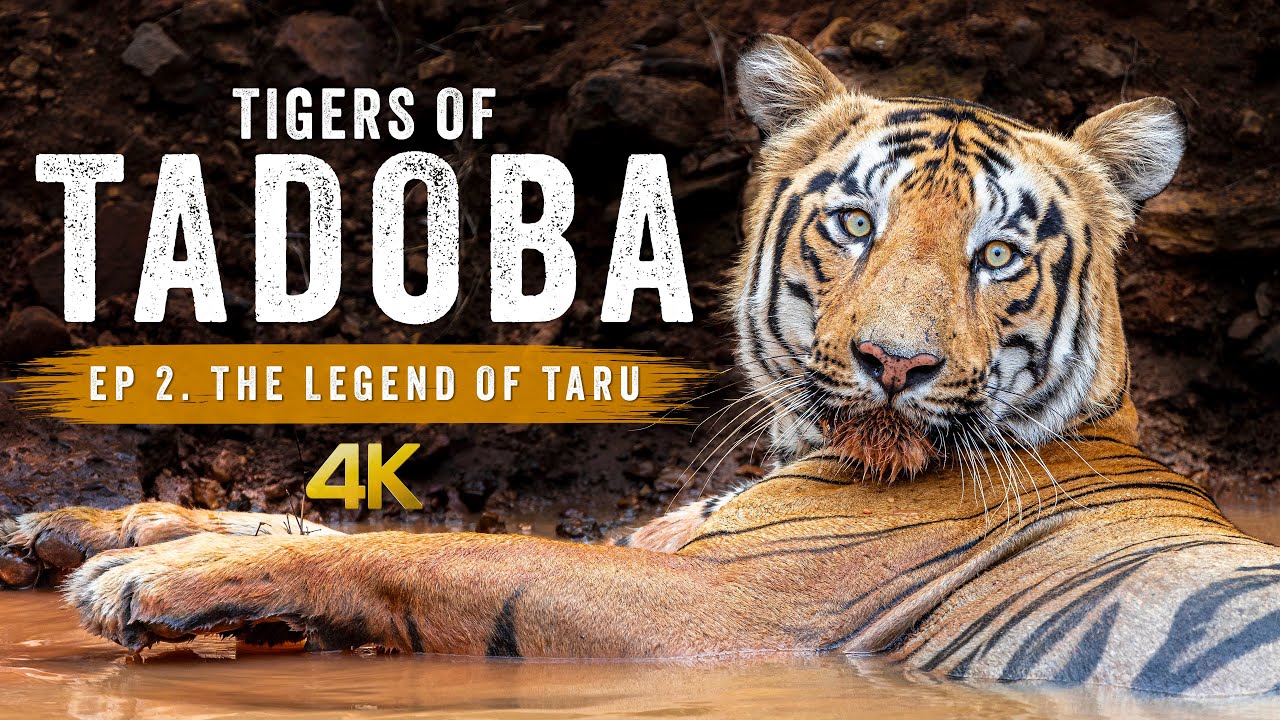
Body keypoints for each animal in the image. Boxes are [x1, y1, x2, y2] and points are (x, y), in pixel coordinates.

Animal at [2, 33, 1278, 696]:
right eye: (855, 224)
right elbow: (315, 519)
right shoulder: (673, 547)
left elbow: (452, 550)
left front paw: (145, 578)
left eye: (996, 254)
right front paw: (72, 526)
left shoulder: (740, 617)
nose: (893, 364)